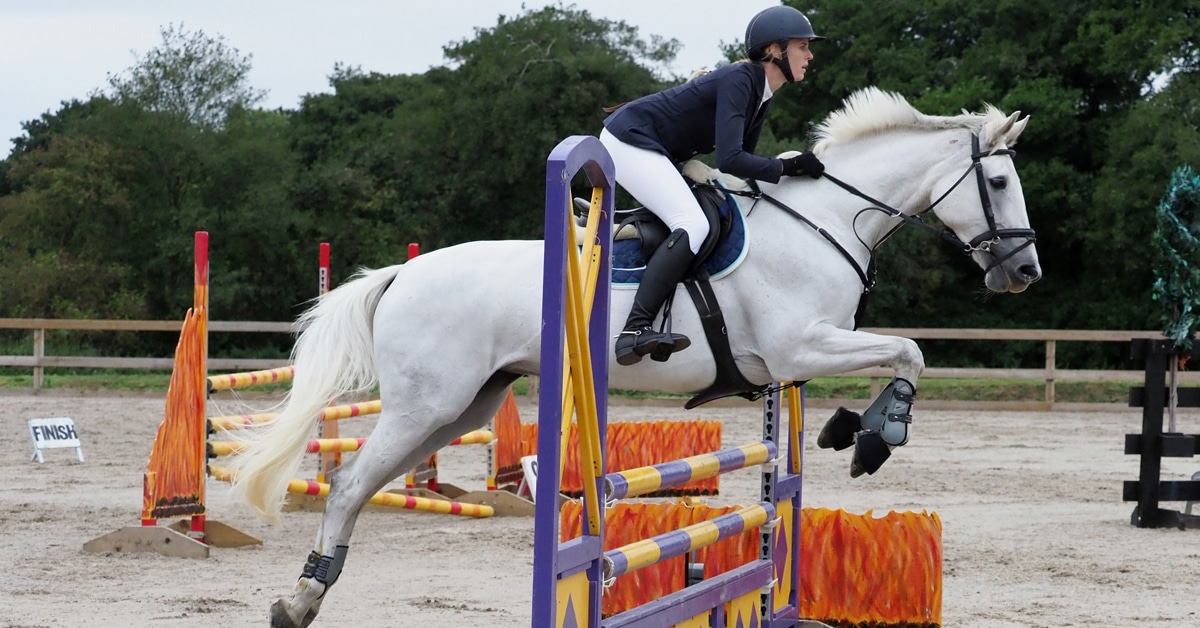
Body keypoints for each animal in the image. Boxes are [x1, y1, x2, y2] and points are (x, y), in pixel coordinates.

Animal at [228, 86, 1040, 627]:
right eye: (999, 181)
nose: (1025, 273)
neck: (826, 218)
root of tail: (403, 274)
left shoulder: (798, 360)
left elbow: (890, 362)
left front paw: (849, 430)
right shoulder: (799, 343)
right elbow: (911, 351)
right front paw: (877, 437)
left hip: (463, 404)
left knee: (362, 485)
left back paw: (307, 592)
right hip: (428, 403)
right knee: (347, 485)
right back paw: (300, 599)